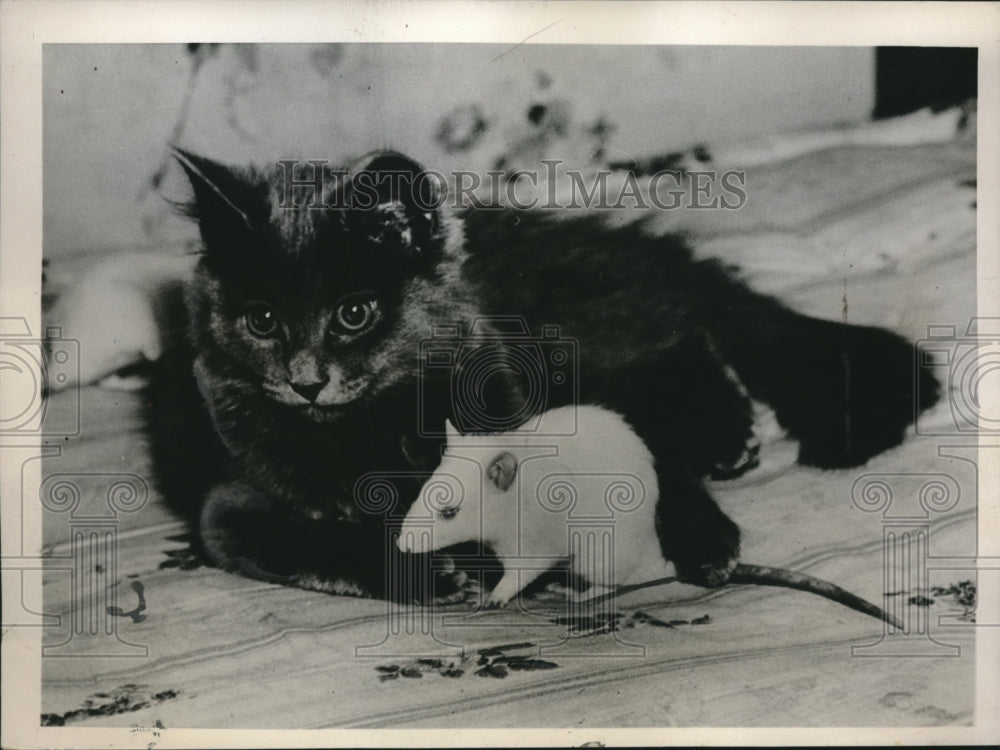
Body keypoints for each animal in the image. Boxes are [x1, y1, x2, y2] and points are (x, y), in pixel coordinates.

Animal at [146, 150, 936, 604]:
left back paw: (719, 481)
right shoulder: (229, 495)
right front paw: (435, 574)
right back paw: (729, 445)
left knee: (674, 365)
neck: (375, 425)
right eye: (261, 321)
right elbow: (286, 537)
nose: (304, 379)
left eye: (354, 312)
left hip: (572, 346)